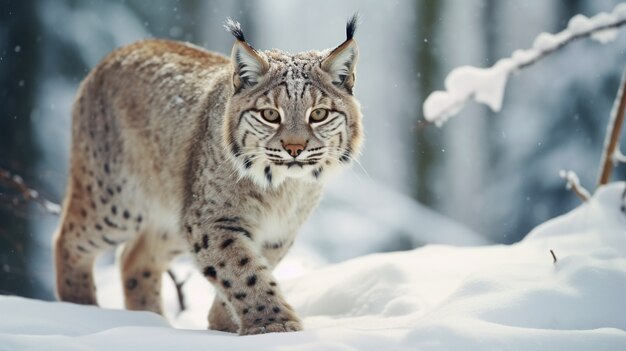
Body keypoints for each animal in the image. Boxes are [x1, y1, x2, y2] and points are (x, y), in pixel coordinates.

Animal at [54, 15, 360, 336]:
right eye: (270, 115)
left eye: (319, 114)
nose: (295, 148)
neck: (282, 185)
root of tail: (120, 50)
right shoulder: (212, 221)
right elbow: (242, 270)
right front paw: (273, 325)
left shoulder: (278, 232)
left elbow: (246, 269)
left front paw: (223, 326)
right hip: (117, 199)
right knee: (67, 238)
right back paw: (81, 311)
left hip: (175, 211)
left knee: (133, 258)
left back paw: (150, 322)